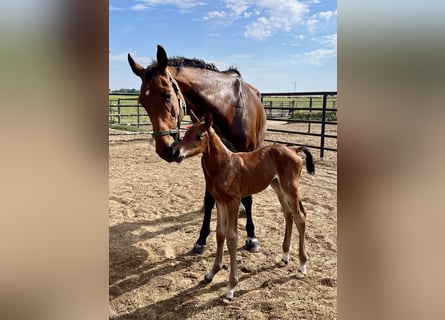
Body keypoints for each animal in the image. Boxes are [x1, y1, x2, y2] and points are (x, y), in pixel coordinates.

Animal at [128, 45, 268, 254]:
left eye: (167, 95)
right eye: (142, 102)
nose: (164, 148)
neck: (229, 106)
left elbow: (249, 199)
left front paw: (251, 237)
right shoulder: (208, 159)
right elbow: (208, 200)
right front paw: (201, 240)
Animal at [173, 112, 316, 300]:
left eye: (200, 135)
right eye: (186, 134)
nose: (176, 153)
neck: (224, 165)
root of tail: (293, 150)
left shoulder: (233, 201)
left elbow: (232, 237)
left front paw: (231, 287)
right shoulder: (220, 201)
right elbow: (220, 234)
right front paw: (211, 273)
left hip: (291, 189)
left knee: (300, 217)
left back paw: (302, 265)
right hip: (277, 186)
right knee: (288, 214)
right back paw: (285, 256)